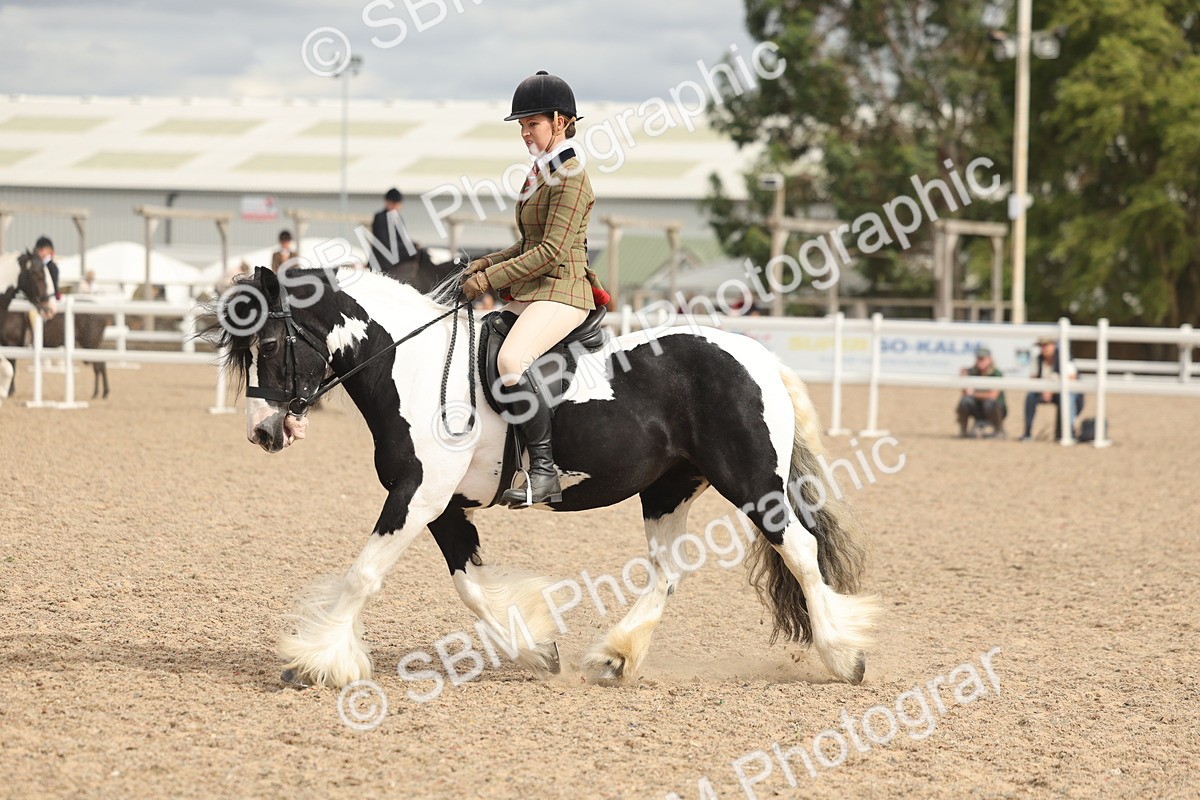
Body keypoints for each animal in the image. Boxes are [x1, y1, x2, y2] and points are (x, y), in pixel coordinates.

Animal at [209, 265, 880, 689]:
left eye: (269, 344)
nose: (263, 432)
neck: (416, 367)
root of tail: (756, 356)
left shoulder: (417, 496)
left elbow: (363, 575)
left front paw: (313, 661)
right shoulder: (442, 505)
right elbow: (470, 585)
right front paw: (537, 648)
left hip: (753, 484)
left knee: (800, 551)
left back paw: (843, 657)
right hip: (666, 490)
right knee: (667, 571)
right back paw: (615, 659)